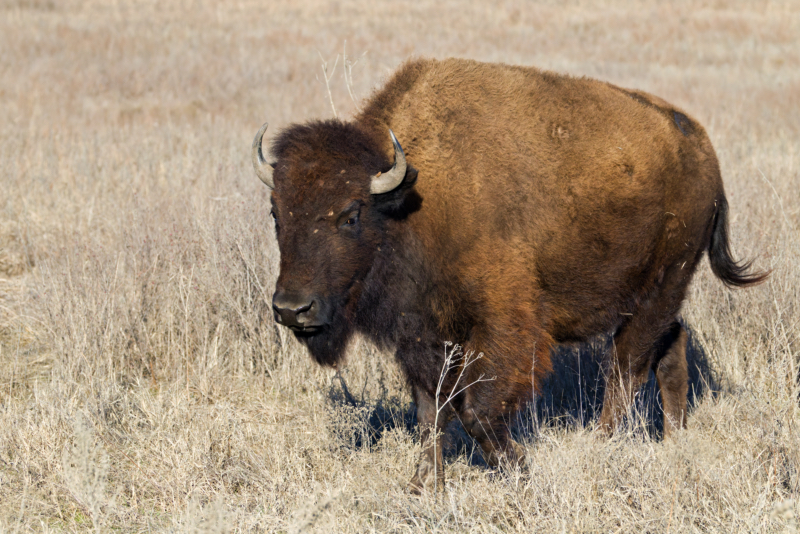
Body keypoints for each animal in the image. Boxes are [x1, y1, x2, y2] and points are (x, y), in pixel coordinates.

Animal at [253, 58, 764, 494]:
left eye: (351, 214)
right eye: (276, 212)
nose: (292, 309)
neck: (412, 199)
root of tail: (704, 153)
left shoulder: (502, 325)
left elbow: (476, 409)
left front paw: (520, 470)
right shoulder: (424, 334)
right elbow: (430, 410)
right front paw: (424, 485)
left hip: (659, 289)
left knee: (625, 370)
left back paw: (602, 445)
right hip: (653, 298)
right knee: (669, 349)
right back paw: (673, 438)